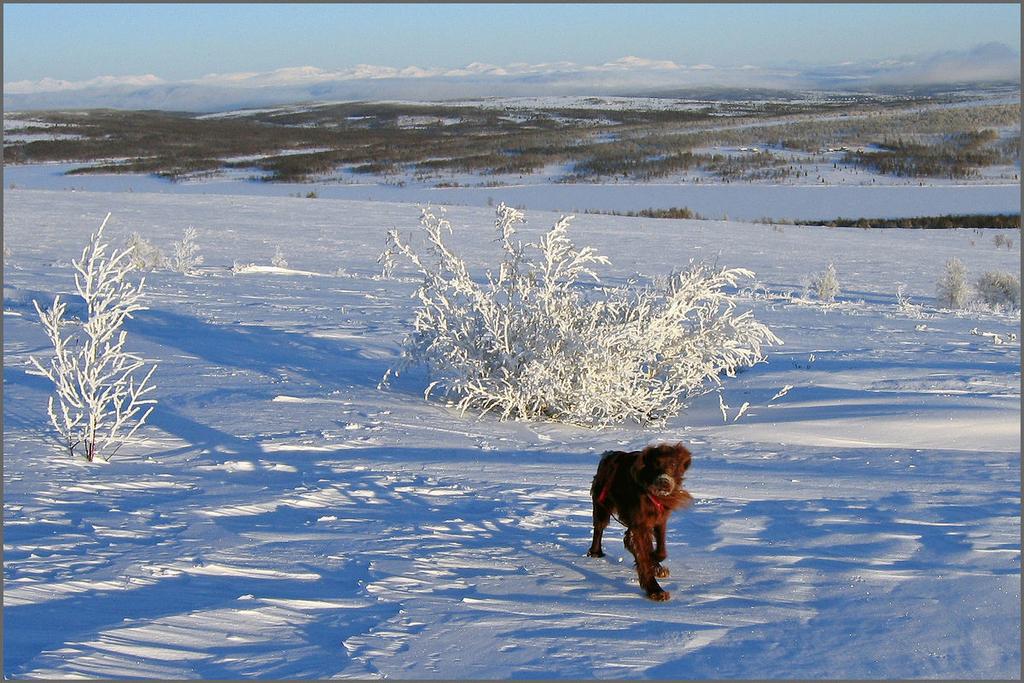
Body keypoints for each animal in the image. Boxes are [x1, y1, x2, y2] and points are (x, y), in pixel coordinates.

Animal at [589, 444, 692, 598]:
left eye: (673, 464)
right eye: (655, 464)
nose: (664, 482)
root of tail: (608, 455)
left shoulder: (660, 518)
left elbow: (660, 551)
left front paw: (656, 565)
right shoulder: (640, 524)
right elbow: (643, 555)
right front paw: (655, 590)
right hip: (602, 503)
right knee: (599, 528)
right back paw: (595, 552)